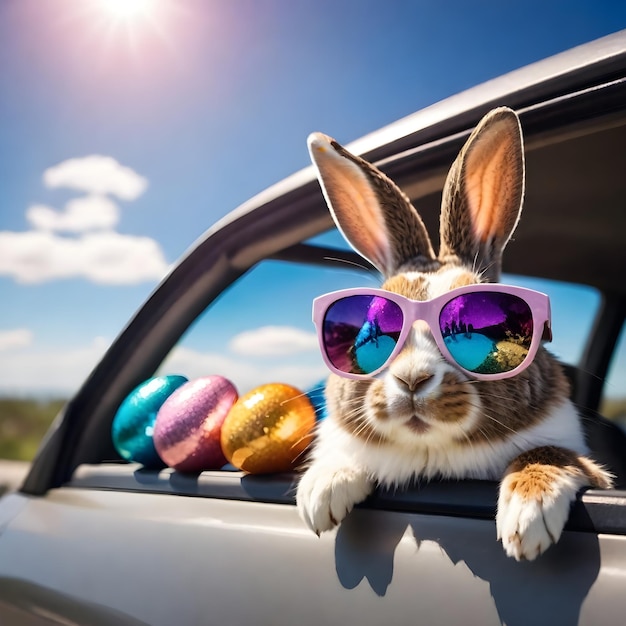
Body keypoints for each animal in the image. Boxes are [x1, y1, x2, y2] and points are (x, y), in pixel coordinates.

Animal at [294, 107, 612, 560]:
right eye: (370, 324)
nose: (412, 380)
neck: (433, 452)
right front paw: (322, 490)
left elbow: (553, 453)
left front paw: (528, 513)